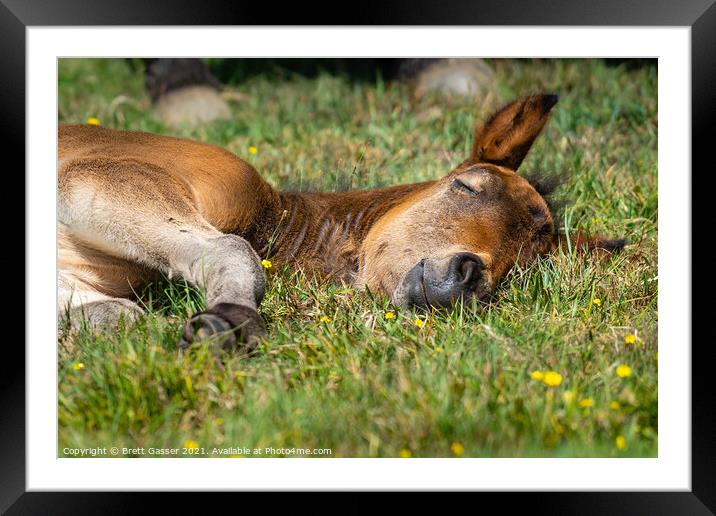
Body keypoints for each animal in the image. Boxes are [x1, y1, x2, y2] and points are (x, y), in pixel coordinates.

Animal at [58, 93, 624, 350]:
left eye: (525, 265)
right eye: (466, 186)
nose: (466, 279)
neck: (276, 218)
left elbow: (113, 315)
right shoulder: (93, 179)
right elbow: (232, 250)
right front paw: (226, 324)